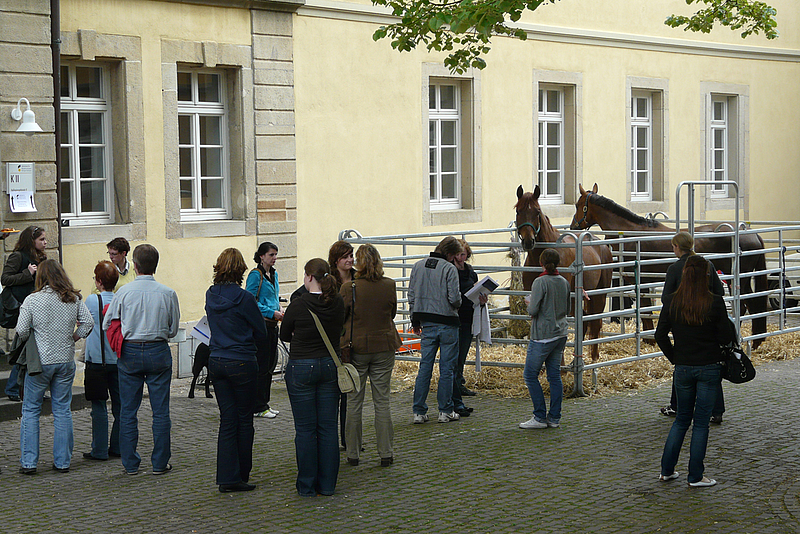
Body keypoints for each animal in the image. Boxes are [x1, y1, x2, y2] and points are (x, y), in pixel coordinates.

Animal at [515, 185, 614, 362]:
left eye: (537, 211)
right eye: (518, 211)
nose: (528, 241)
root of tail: (601, 244)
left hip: (599, 294)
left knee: (595, 322)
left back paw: (594, 357)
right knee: (585, 322)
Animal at [570, 183, 767, 349]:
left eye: (578, 205)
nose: (573, 226)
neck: (630, 233)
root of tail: (754, 234)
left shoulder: (640, 281)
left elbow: (646, 309)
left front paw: (648, 339)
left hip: (738, 278)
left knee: (745, 305)